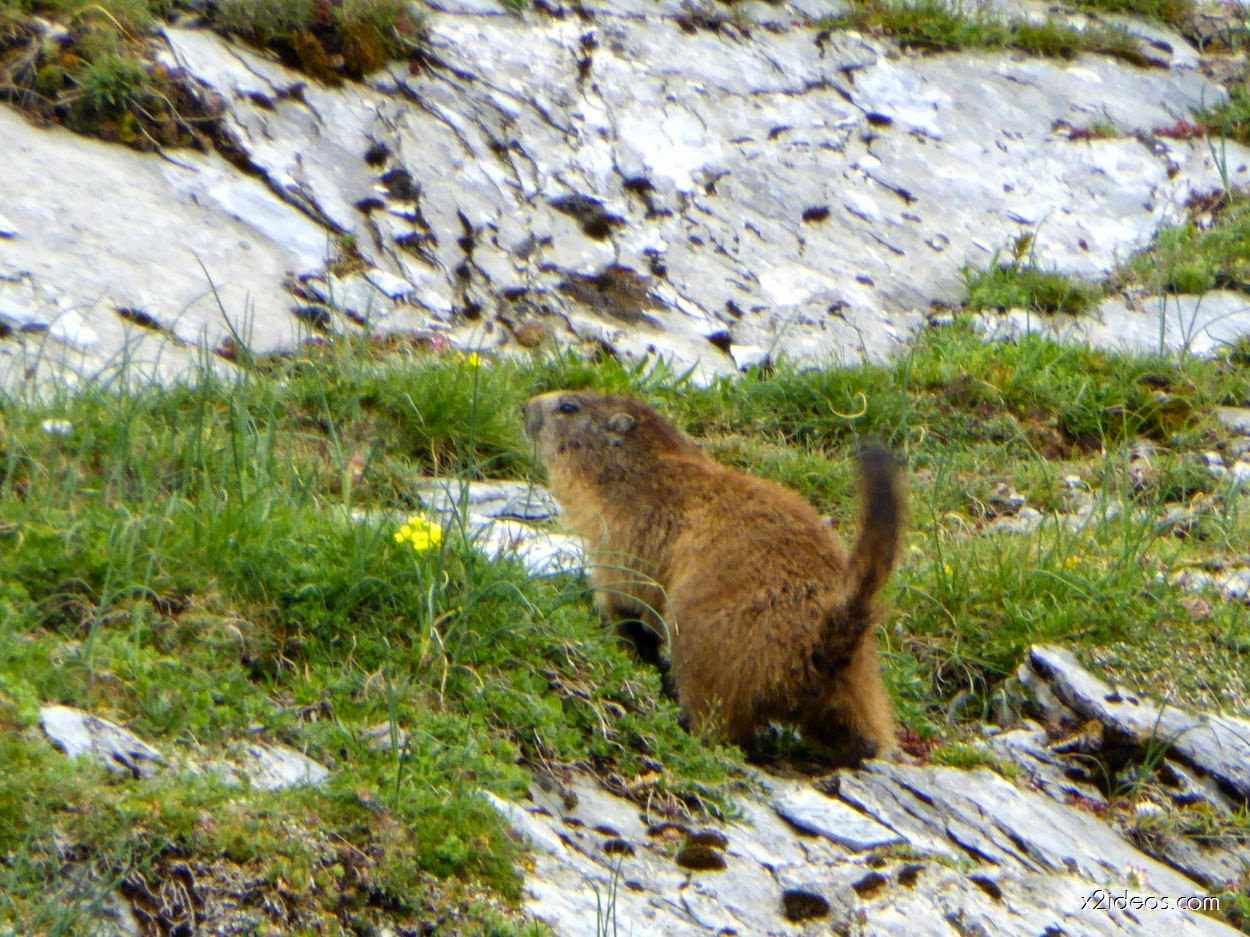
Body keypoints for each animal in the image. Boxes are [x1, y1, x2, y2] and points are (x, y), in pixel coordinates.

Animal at [524, 390, 904, 762]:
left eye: (568, 406)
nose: (525, 406)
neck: (643, 469)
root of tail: (830, 630)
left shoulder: (623, 529)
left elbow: (625, 592)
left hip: (712, 647)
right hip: (860, 680)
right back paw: (863, 746)